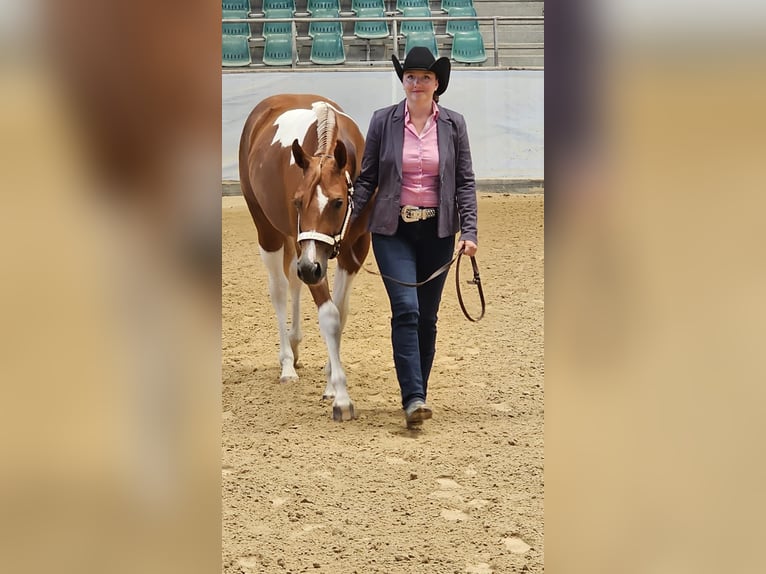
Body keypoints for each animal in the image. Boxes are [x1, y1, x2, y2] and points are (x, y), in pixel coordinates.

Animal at [238, 94, 374, 422]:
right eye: (298, 201)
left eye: (337, 202)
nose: (311, 268)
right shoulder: (307, 251)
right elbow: (329, 316)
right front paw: (341, 397)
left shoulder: (354, 251)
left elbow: (341, 312)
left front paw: (329, 383)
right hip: (269, 233)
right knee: (279, 290)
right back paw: (287, 362)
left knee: (294, 282)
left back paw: (295, 344)